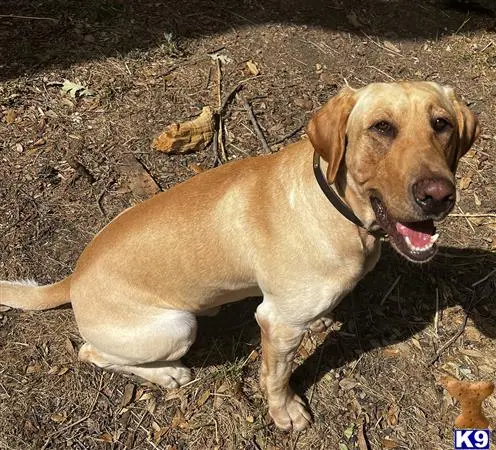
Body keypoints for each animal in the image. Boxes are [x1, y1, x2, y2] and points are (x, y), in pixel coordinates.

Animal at [0, 82, 480, 430]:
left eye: (441, 124)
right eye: (381, 128)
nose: (438, 195)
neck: (336, 207)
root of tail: (73, 277)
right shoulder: (277, 324)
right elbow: (279, 376)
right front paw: (285, 411)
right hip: (177, 326)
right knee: (92, 354)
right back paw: (167, 374)